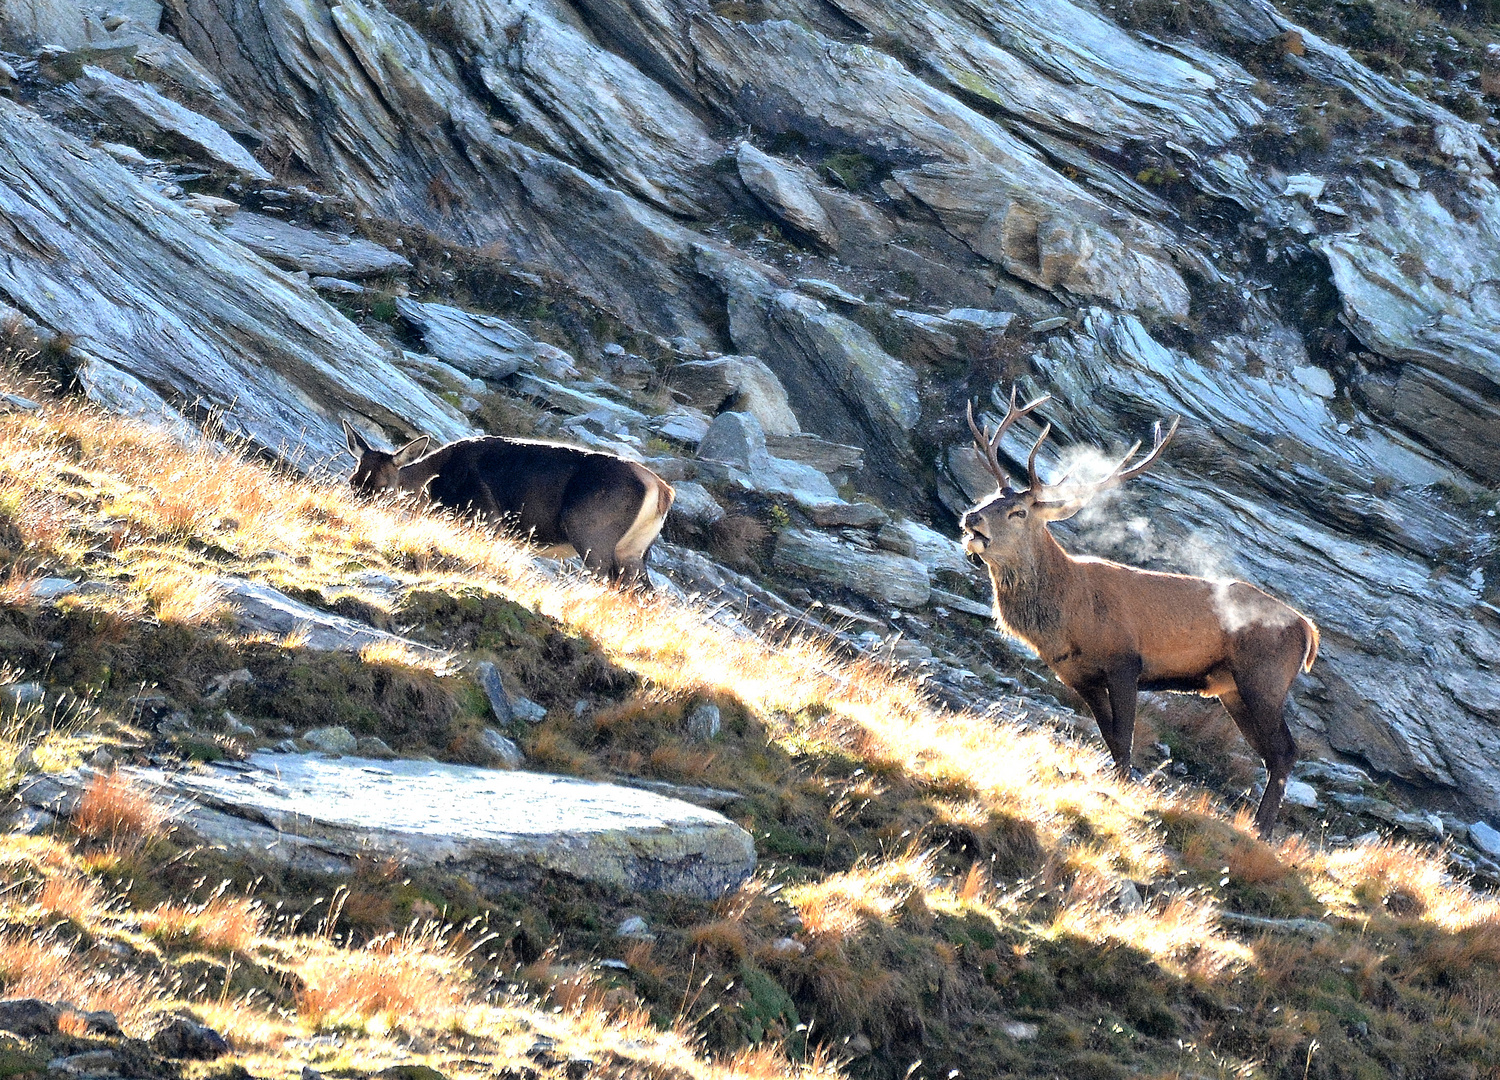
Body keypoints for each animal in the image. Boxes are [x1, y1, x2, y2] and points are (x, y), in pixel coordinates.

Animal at [345, 423, 675, 591]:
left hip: (592, 531)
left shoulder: (485, 516)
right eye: (352, 480)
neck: (434, 485)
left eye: (384, 487)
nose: (359, 509)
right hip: (633, 549)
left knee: (609, 580)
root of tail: (662, 491)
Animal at [954, 387, 1320, 834]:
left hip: (1264, 678)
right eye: (990, 497)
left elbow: (1126, 738)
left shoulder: (1125, 660)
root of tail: (1307, 629)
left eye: (1018, 512)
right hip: (1232, 689)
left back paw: (1261, 831)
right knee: (1270, 754)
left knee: (1285, 751)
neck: (1067, 617)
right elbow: (1111, 739)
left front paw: (1123, 792)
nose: (972, 518)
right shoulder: (1078, 675)